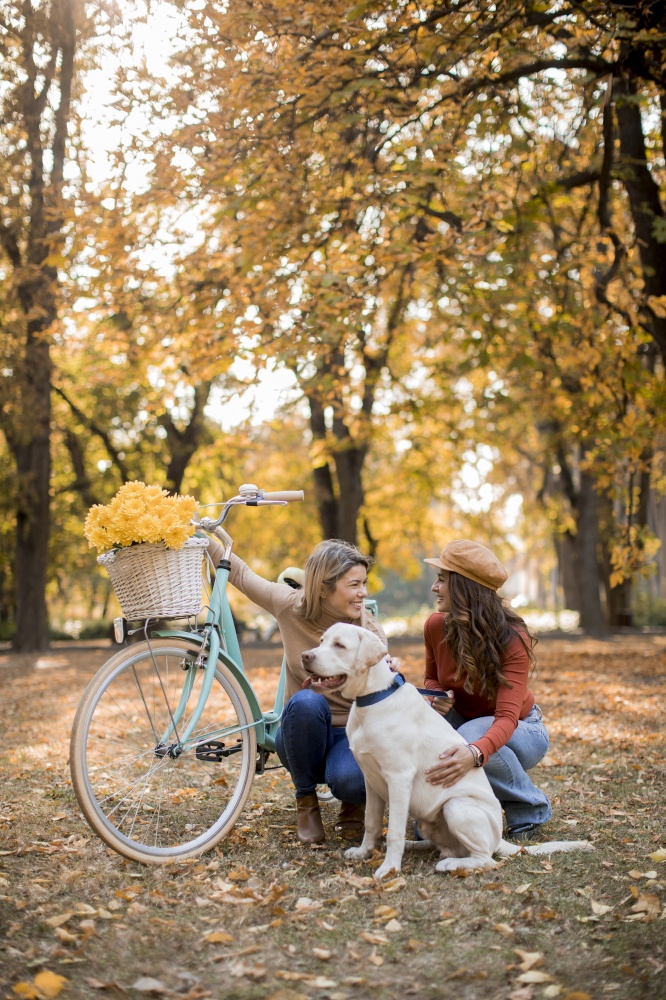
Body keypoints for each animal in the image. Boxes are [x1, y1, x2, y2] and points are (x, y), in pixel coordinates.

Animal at [300, 620, 592, 880]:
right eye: (322, 641)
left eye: (340, 645)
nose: (305, 655)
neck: (373, 698)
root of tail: (499, 839)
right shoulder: (371, 780)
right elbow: (371, 823)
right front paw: (363, 852)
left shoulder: (398, 778)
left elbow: (393, 830)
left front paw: (389, 868)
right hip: (428, 820)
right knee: (442, 846)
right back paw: (417, 846)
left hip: (456, 806)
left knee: (486, 858)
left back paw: (450, 864)